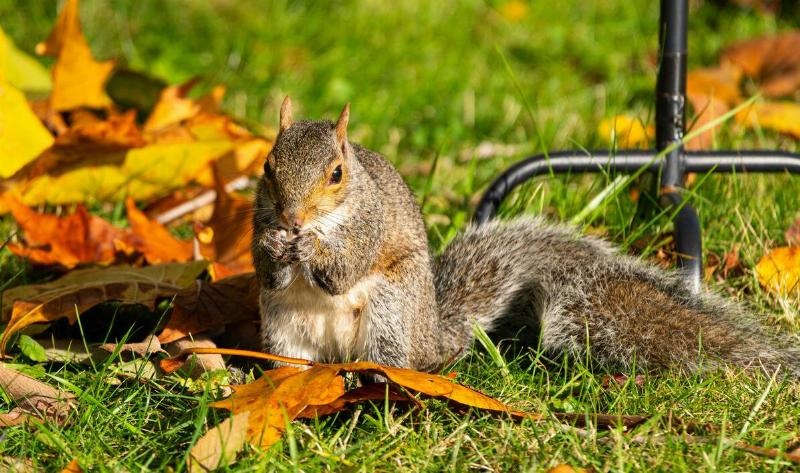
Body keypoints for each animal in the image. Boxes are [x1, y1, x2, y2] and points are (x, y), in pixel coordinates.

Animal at [252, 97, 800, 378]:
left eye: (337, 174)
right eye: (267, 167)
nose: (292, 219)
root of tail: (433, 338)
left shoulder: (369, 224)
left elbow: (343, 270)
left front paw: (310, 250)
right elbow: (267, 270)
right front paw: (274, 249)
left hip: (391, 309)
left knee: (392, 358)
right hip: (282, 327)